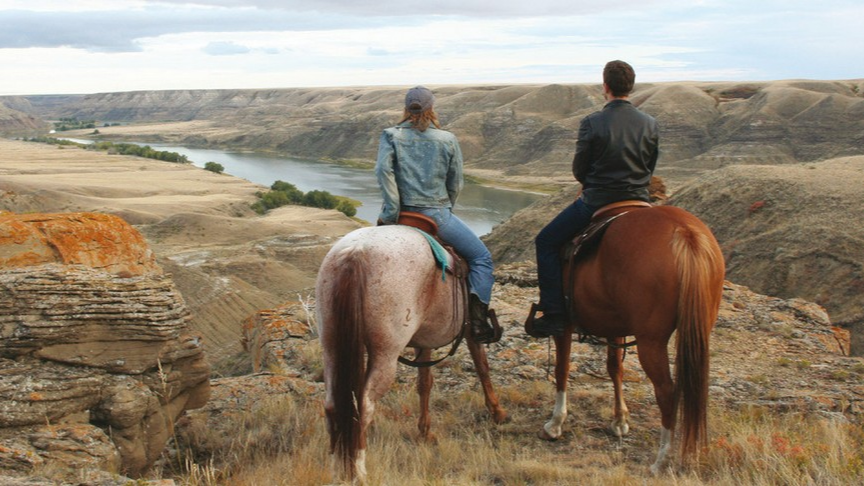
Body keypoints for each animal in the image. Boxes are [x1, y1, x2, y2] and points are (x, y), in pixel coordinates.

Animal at [316, 226, 506, 484]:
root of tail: (356, 253)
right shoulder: (469, 331)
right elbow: (482, 367)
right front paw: (497, 411)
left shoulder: (424, 342)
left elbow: (424, 384)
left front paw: (424, 431)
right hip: (385, 354)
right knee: (364, 407)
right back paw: (359, 471)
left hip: (331, 347)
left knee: (332, 406)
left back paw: (337, 470)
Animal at [532, 204, 724, 474]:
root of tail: (684, 233)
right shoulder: (615, 325)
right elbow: (616, 369)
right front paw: (620, 420)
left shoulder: (565, 324)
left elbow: (562, 369)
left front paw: (555, 424)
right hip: (699, 331)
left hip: (650, 341)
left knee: (667, 391)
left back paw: (661, 460)